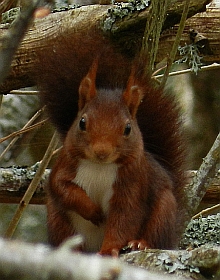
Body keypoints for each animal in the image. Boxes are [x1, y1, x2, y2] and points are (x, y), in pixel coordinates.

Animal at [34, 29, 186, 256]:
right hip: (57, 220)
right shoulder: (65, 165)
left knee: (158, 232)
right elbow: (60, 187)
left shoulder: (132, 183)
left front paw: (108, 250)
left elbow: (124, 219)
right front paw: (92, 210)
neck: (100, 167)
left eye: (127, 128)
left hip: (164, 209)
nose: (101, 151)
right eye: (82, 122)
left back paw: (141, 243)